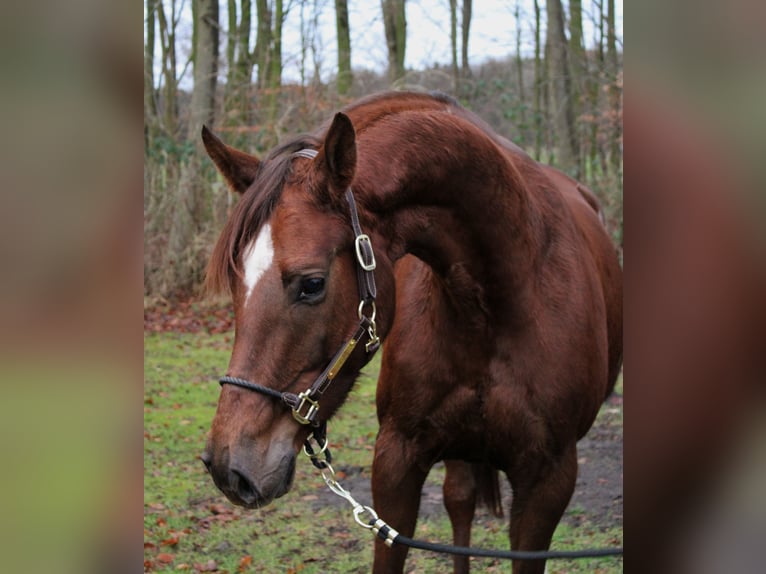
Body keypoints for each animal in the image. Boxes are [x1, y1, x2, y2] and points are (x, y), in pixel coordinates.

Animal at [200, 92, 624, 572]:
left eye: (312, 284)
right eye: (234, 282)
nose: (229, 466)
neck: (496, 306)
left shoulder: (548, 483)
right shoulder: (396, 461)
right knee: (459, 501)